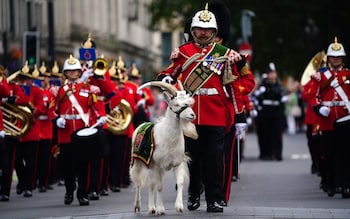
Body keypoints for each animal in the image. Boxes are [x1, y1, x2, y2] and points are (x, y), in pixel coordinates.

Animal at [130, 81, 198, 216]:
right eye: (176, 104)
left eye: (188, 103)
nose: (192, 115)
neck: (168, 139)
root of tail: (142, 124)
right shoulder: (157, 165)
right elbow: (159, 187)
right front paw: (160, 209)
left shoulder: (177, 163)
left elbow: (180, 182)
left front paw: (179, 206)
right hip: (139, 162)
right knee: (139, 183)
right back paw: (138, 206)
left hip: (149, 165)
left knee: (150, 185)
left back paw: (151, 208)